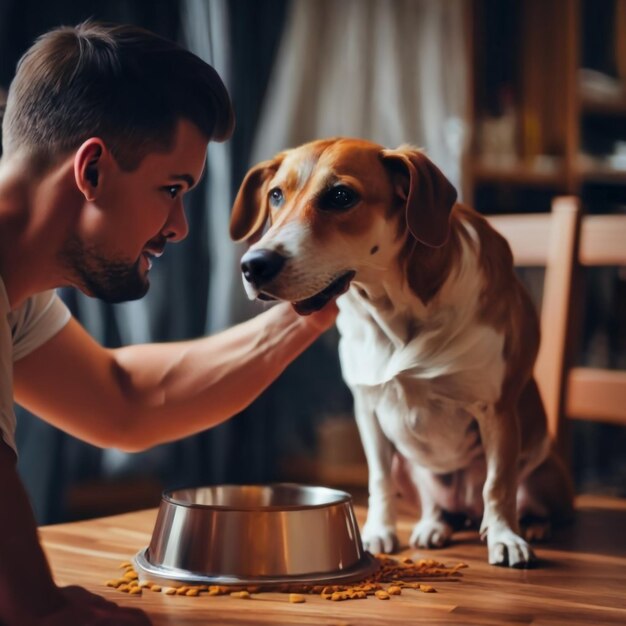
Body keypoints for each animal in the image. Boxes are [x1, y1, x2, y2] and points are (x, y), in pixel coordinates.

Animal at [229, 138, 572, 564]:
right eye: (276, 195)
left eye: (340, 196)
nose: (253, 265)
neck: (392, 314)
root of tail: (466, 508)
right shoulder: (369, 410)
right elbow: (378, 479)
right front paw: (379, 531)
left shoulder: (497, 412)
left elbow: (499, 483)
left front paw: (505, 536)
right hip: (410, 469)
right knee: (436, 505)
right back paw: (433, 525)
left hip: (544, 473)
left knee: (527, 500)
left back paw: (533, 525)